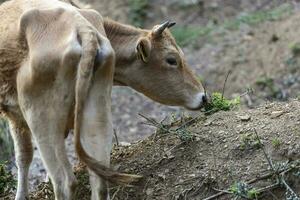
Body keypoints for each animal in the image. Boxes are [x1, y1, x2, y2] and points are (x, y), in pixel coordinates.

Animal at [0, 0, 206, 199]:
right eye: (171, 60)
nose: (203, 96)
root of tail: (83, 29)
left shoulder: (14, 115)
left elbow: (23, 156)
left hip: (42, 118)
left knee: (65, 182)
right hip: (96, 113)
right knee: (99, 179)